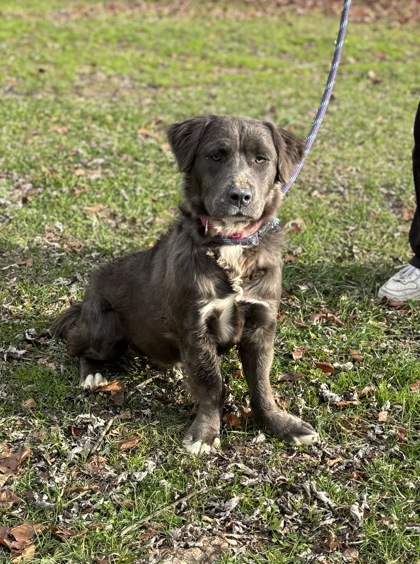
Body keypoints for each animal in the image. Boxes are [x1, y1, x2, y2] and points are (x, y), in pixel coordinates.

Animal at [55, 115, 319, 454]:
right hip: (105, 326)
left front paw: (279, 424)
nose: (240, 196)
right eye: (216, 155)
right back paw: (93, 374)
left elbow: (261, 383)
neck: (229, 244)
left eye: (261, 159)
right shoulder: (196, 326)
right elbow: (210, 382)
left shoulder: (261, 324)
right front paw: (206, 432)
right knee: (78, 345)